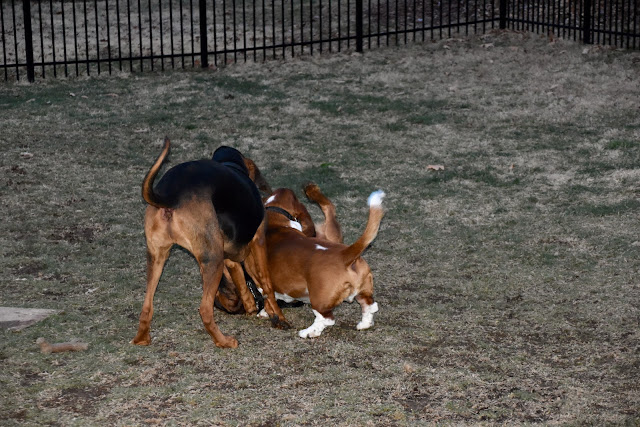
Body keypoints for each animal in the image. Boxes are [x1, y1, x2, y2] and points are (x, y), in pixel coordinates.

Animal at [131, 138, 289, 349]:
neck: (229, 163)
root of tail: (170, 195)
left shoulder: (231, 255)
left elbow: (243, 281)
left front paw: (252, 306)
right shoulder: (258, 242)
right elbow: (266, 283)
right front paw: (279, 317)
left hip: (157, 256)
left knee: (147, 306)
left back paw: (141, 338)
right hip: (213, 259)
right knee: (205, 309)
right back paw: (224, 341)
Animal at [254, 183, 385, 338]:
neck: (276, 223)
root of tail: (345, 254)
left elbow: (269, 298)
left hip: (318, 299)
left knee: (326, 318)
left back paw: (308, 332)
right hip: (363, 291)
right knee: (369, 305)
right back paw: (364, 324)